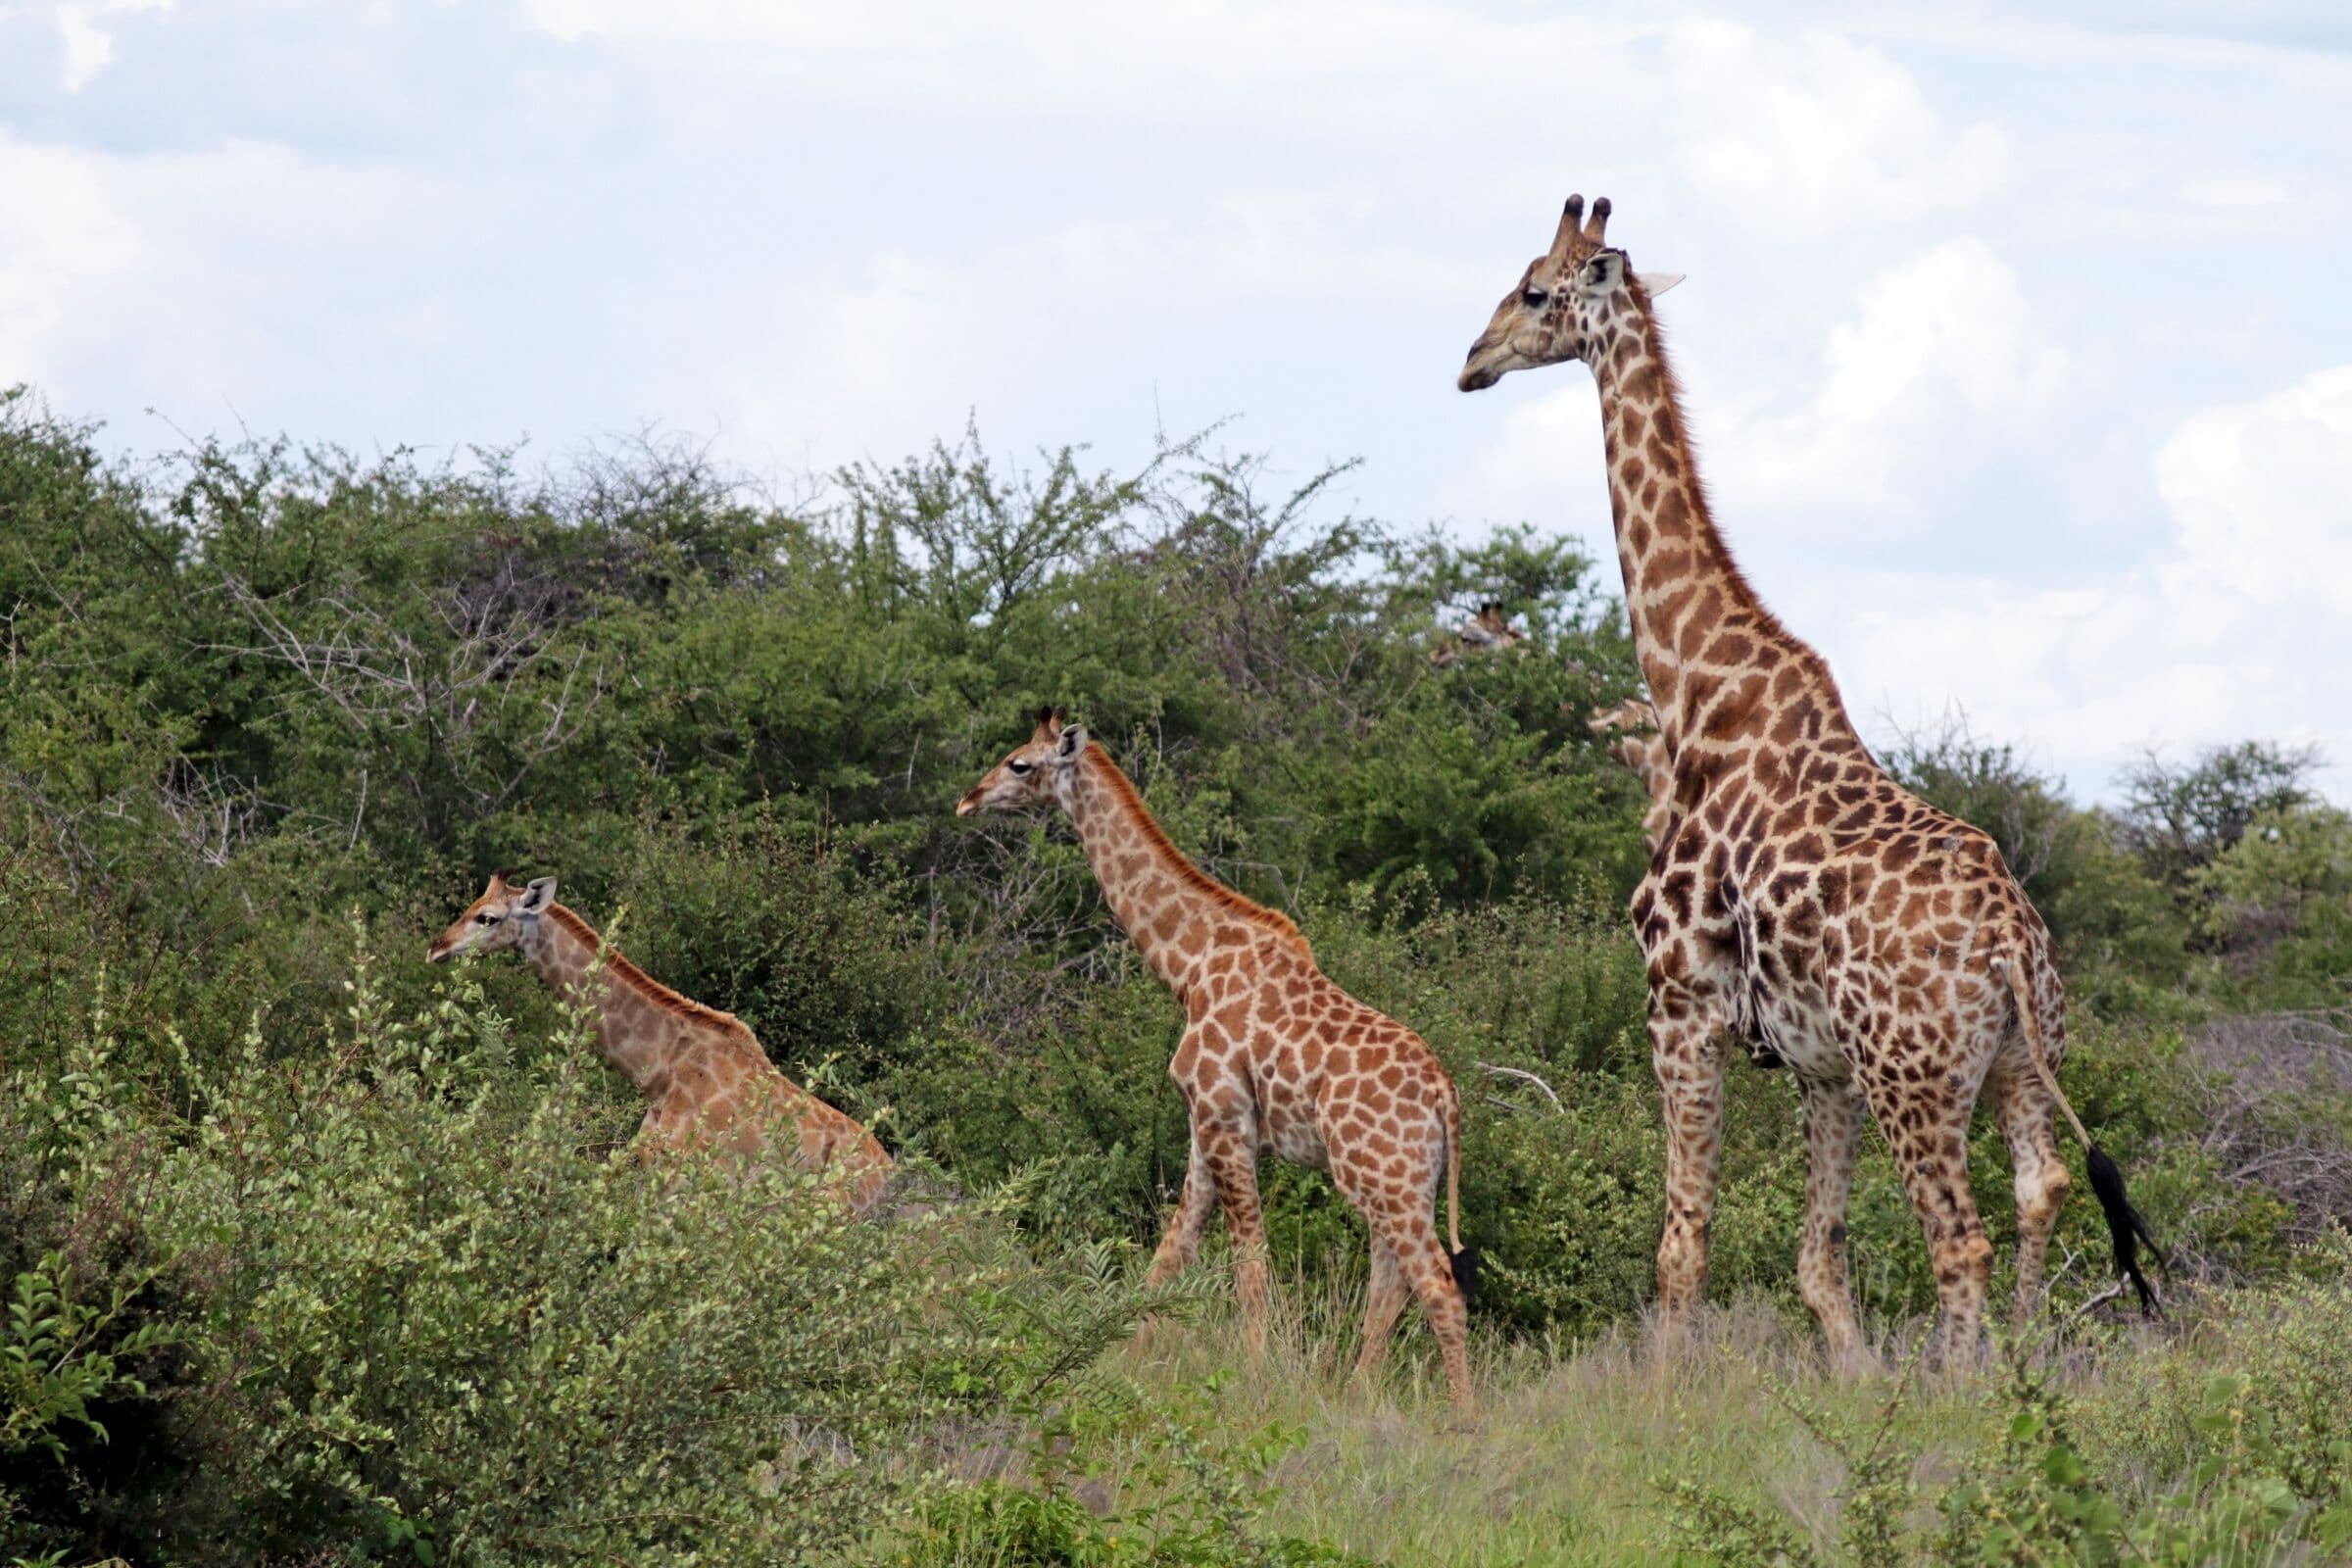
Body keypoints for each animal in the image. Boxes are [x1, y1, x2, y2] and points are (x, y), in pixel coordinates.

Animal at [427, 873, 896, 1213]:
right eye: (471, 906)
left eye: (487, 918)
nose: (436, 949)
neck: (661, 1073)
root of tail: (890, 1177)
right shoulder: (651, 1171)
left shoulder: (690, 1182)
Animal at [958, 709, 1478, 1407]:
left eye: (1019, 763)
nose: (969, 800)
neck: (1190, 965)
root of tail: (1446, 1096)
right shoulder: (1203, 1131)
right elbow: (1169, 1255)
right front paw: (1119, 1359)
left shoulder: (1225, 1119)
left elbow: (1248, 1262)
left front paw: (1257, 1376)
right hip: (1400, 1181)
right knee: (1390, 1285)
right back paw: (1356, 1393)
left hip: (1382, 1177)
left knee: (1438, 1286)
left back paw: (1465, 1416)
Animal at [1457, 194, 2159, 1366]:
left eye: (1535, 292)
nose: (1471, 361)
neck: (1694, 694)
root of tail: (2012, 945)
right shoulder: (1816, 1061)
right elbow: (1817, 1258)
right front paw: (1855, 1383)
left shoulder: (1679, 1006)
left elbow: (1681, 1245)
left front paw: (1666, 1397)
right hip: (2022, 1058)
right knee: (2041, 1190)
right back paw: (2017, 1375)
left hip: (1913, 1075)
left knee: (1957, 1239)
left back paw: (1964, 1394)